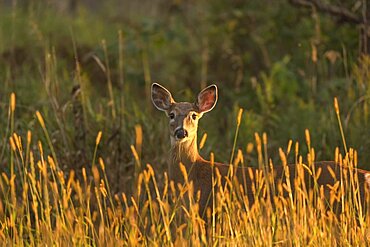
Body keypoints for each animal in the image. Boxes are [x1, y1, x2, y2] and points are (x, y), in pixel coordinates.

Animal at [151, 83, 370, 216]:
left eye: (194, 115)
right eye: (171, 115)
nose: (181, 132)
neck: (193, 173)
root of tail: (364, 174)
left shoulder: (207, 208)